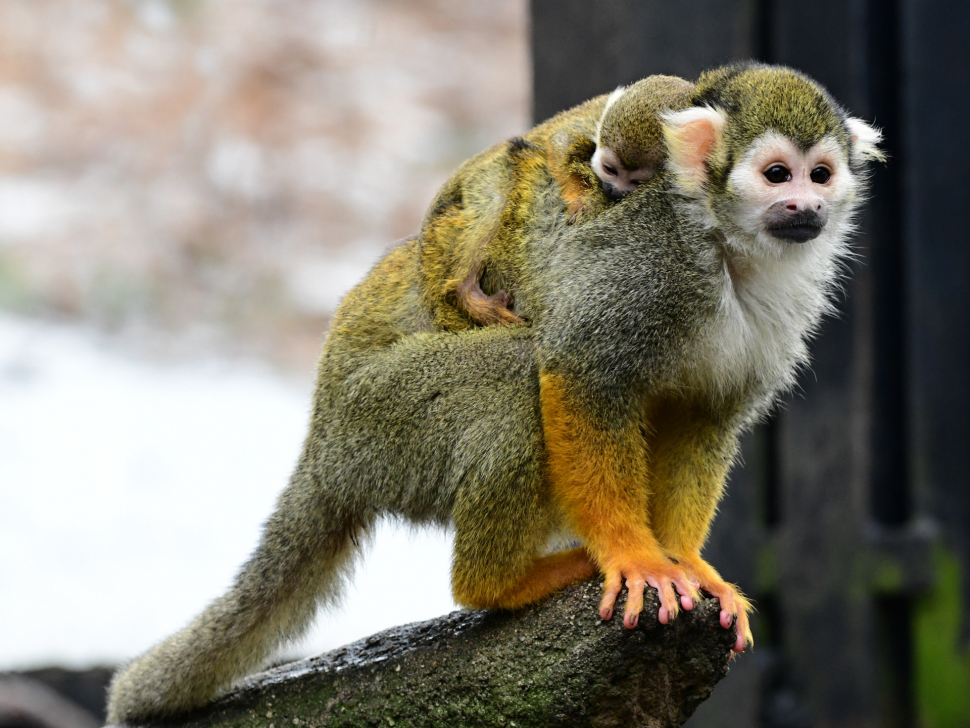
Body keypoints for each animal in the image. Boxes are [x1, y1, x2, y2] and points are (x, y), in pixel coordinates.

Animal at [104, 62, 876, 724]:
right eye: (776, 174)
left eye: (821, 174)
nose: (805, 205)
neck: (727, 246)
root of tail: (322, 444)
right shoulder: (644, 262)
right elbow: (576, 369)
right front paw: (634, 555)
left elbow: (705, 416)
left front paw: (685, 561)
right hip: (382, 417)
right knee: (513, 377)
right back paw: (497, 585)